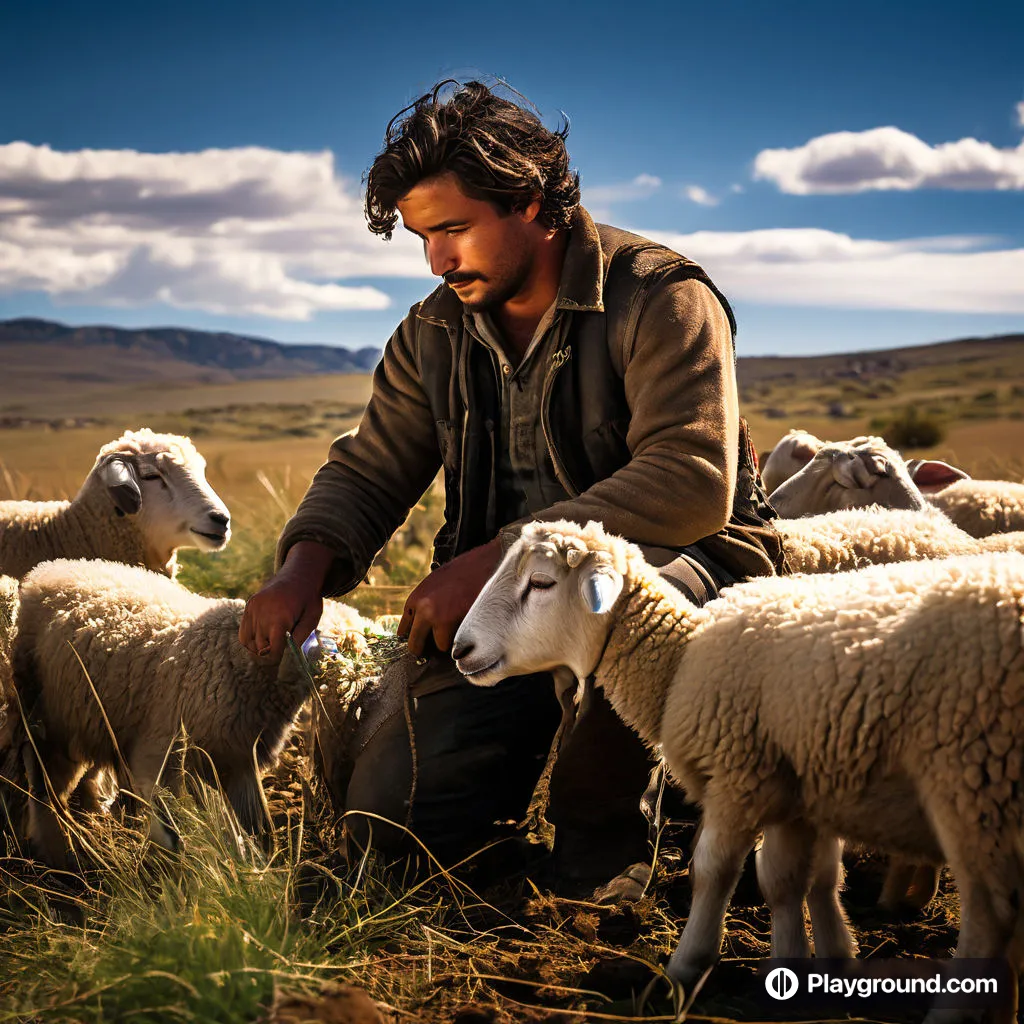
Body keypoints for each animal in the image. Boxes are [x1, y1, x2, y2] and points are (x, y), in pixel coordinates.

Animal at [12, 561, 315, 864]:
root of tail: (48, 570)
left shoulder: (239, 758)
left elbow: (255, 822)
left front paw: (259, 861)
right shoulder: (162, 749)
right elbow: (169, 821)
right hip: (46, 712)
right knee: (43, 781)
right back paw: (55, 848)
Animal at [458, 524, 1024, 1019]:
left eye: (542, 583)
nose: (461, 649)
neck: (680, 662)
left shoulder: (739, 777)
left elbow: (714, 871)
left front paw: (687, 968)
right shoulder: (800, 787)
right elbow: (799, 880)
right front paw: (816, 966)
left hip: (974, 784)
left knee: (992, 917)